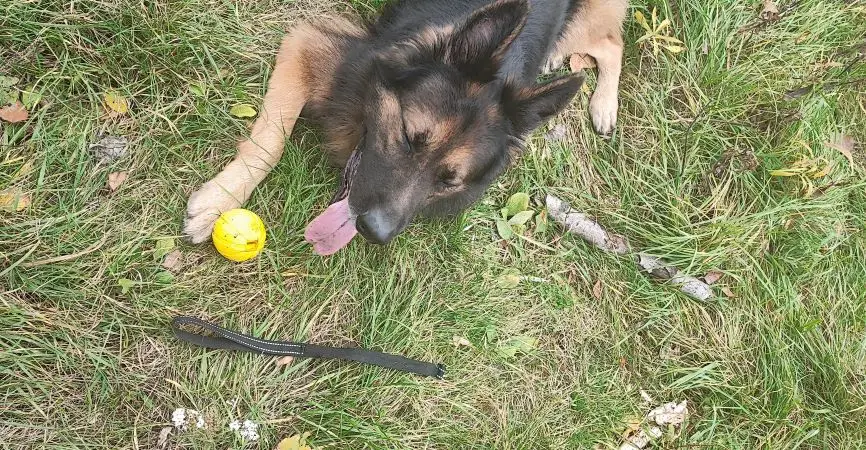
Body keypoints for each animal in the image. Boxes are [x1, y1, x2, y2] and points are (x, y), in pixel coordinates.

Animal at [184, 0, 627, 252]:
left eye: (449, 180)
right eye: (411, 138)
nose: (374, 232)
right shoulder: (309, 44)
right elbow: (269, 142)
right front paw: (219, 200)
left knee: (611, 43)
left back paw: (605, 106)